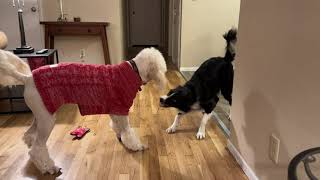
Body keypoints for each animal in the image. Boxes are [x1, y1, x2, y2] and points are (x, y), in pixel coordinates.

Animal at [0, 37, 169, 174]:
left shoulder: (115, 110)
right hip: (46, 120)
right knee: (37, 148)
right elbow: (128, 131)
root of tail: (28, 78)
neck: (134, 70)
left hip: (40, 116)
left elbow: (118, 126)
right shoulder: (121, 108)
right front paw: (136, 146)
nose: (165, 82)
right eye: (162, 68)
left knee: (29, 136)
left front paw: (120, 135)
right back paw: (48, 167)